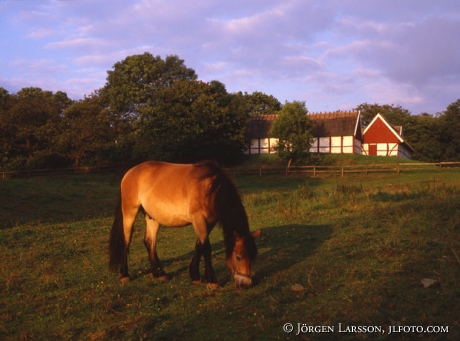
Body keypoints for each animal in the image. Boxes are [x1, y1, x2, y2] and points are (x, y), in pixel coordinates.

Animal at [107, 161, 258, 288]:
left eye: (252, 257)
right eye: (238, 257)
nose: (246, 284)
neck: (210, 188)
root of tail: (130, 172)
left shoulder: (210, 222)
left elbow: (199, 245)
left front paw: (195, 276)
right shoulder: (199, 219)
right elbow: (206, 248)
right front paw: (212, 280)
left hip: (152, 217)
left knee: (149, 242)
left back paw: (159, 273)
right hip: (129, 212)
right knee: (126, 241)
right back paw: (125, 275)